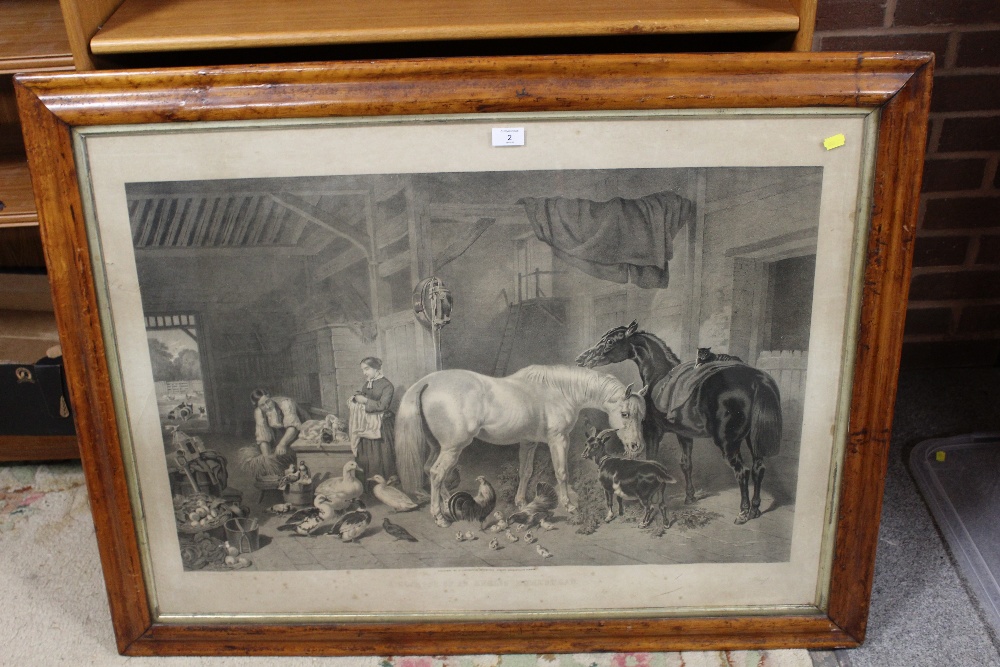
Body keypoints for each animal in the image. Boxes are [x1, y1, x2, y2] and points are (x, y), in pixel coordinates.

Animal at [394, 366, 644, 528]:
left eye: (641, 415)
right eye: (625, 414)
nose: (635, 446)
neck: (559, 390)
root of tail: (426, 383)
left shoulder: (528, 442)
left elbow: (526, 471)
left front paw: (521, 501)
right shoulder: (558, 439)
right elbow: (561, 473)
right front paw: (569, 505)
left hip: (437, 446)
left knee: (430, 470)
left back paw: (447, 504)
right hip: (452, 448)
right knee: (437, 473)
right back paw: (439, 517)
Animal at [580, 320, 780, 524]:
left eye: (610, 341)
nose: (582, 359)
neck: (659, 376)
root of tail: (756, 379)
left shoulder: (653, 432)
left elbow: (652, 459)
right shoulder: (684, 434)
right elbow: (686, 464)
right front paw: (690, 496)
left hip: (728, 443)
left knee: (742, 471)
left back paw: (743, 512)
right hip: (752, 439)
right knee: (758, 468)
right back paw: (755, 509)